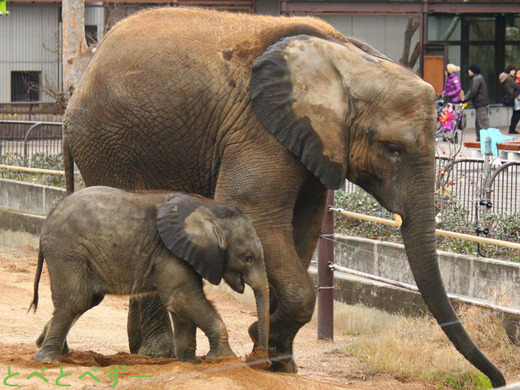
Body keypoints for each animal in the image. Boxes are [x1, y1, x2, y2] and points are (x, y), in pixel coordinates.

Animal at [31, 187, 268, 364]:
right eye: (248, 258)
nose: (261, 358)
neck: (211, 210)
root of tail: (48, 217)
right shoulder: (170, 253)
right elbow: (183, 299)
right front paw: (224, 359)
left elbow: (181, 306)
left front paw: (189, 362)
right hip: (68, 251)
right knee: (76, 299)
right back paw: (47, 359)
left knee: (87, 300)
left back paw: (48, 346)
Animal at [63, 6, 506, 386]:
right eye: (392, 149)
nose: (498, 379)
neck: (350, 60)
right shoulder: (260, 125)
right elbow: (254, 212)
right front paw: (261, 344)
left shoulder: (313, 142)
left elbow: (302, 226)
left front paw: (278, 358)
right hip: (110, 145)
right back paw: (159, 354)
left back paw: (145, 350)